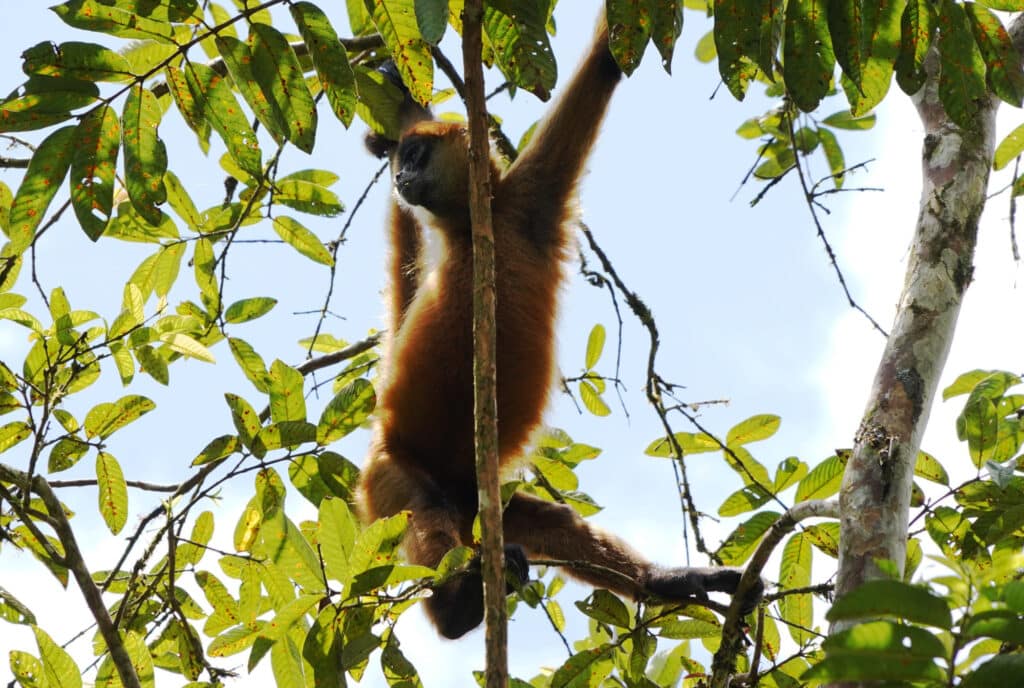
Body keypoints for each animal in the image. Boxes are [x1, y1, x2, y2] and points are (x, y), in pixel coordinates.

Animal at [355, 15, 763, 640]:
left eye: (418, 157)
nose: (400, 175)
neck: (478, 227)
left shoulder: (533, 202)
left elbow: (601, 73)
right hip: (392, 474)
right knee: (423, 508)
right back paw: (456, 610)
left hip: (481, 505)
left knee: (553, 521)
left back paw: (664, 581)